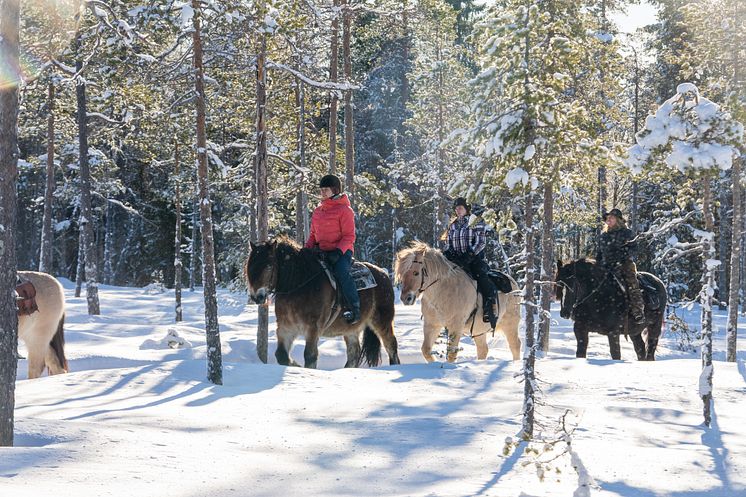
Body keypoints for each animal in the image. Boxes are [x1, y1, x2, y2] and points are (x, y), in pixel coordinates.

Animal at [244, 236, 398, 368]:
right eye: (249, 266)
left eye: (269, 266)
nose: (257, 297)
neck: (299, 284)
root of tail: (383, 274)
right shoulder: (285, 328)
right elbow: (281, 355)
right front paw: (296, 366)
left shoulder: (313, 328)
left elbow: (310, 356)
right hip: (351, 330)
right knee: (354, 353)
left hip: (382, 321)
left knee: (391, 345)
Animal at [392, 242, 520, 362]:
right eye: (402, 274)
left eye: (416, 273)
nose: (406, 298)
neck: (443, 291)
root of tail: (513, 283)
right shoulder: (432, 324)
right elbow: (426, 350)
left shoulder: (456, 325)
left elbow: (451, 354)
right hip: (479, 330)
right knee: (483, 349)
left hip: (510, 325)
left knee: (515, 346)